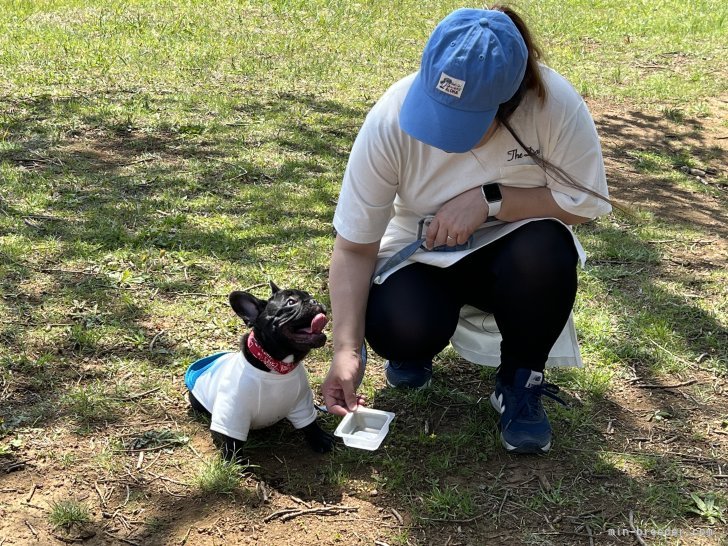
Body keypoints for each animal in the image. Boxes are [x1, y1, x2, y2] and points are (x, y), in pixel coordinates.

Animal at [186, 280, 336, 460]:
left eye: (309, 295)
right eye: (291, 302)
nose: (314, 301)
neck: (277, 367)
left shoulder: (302, 403)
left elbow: (310, 423)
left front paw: (320, 438)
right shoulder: (233, 412)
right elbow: (232, 440)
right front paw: (233, 458)